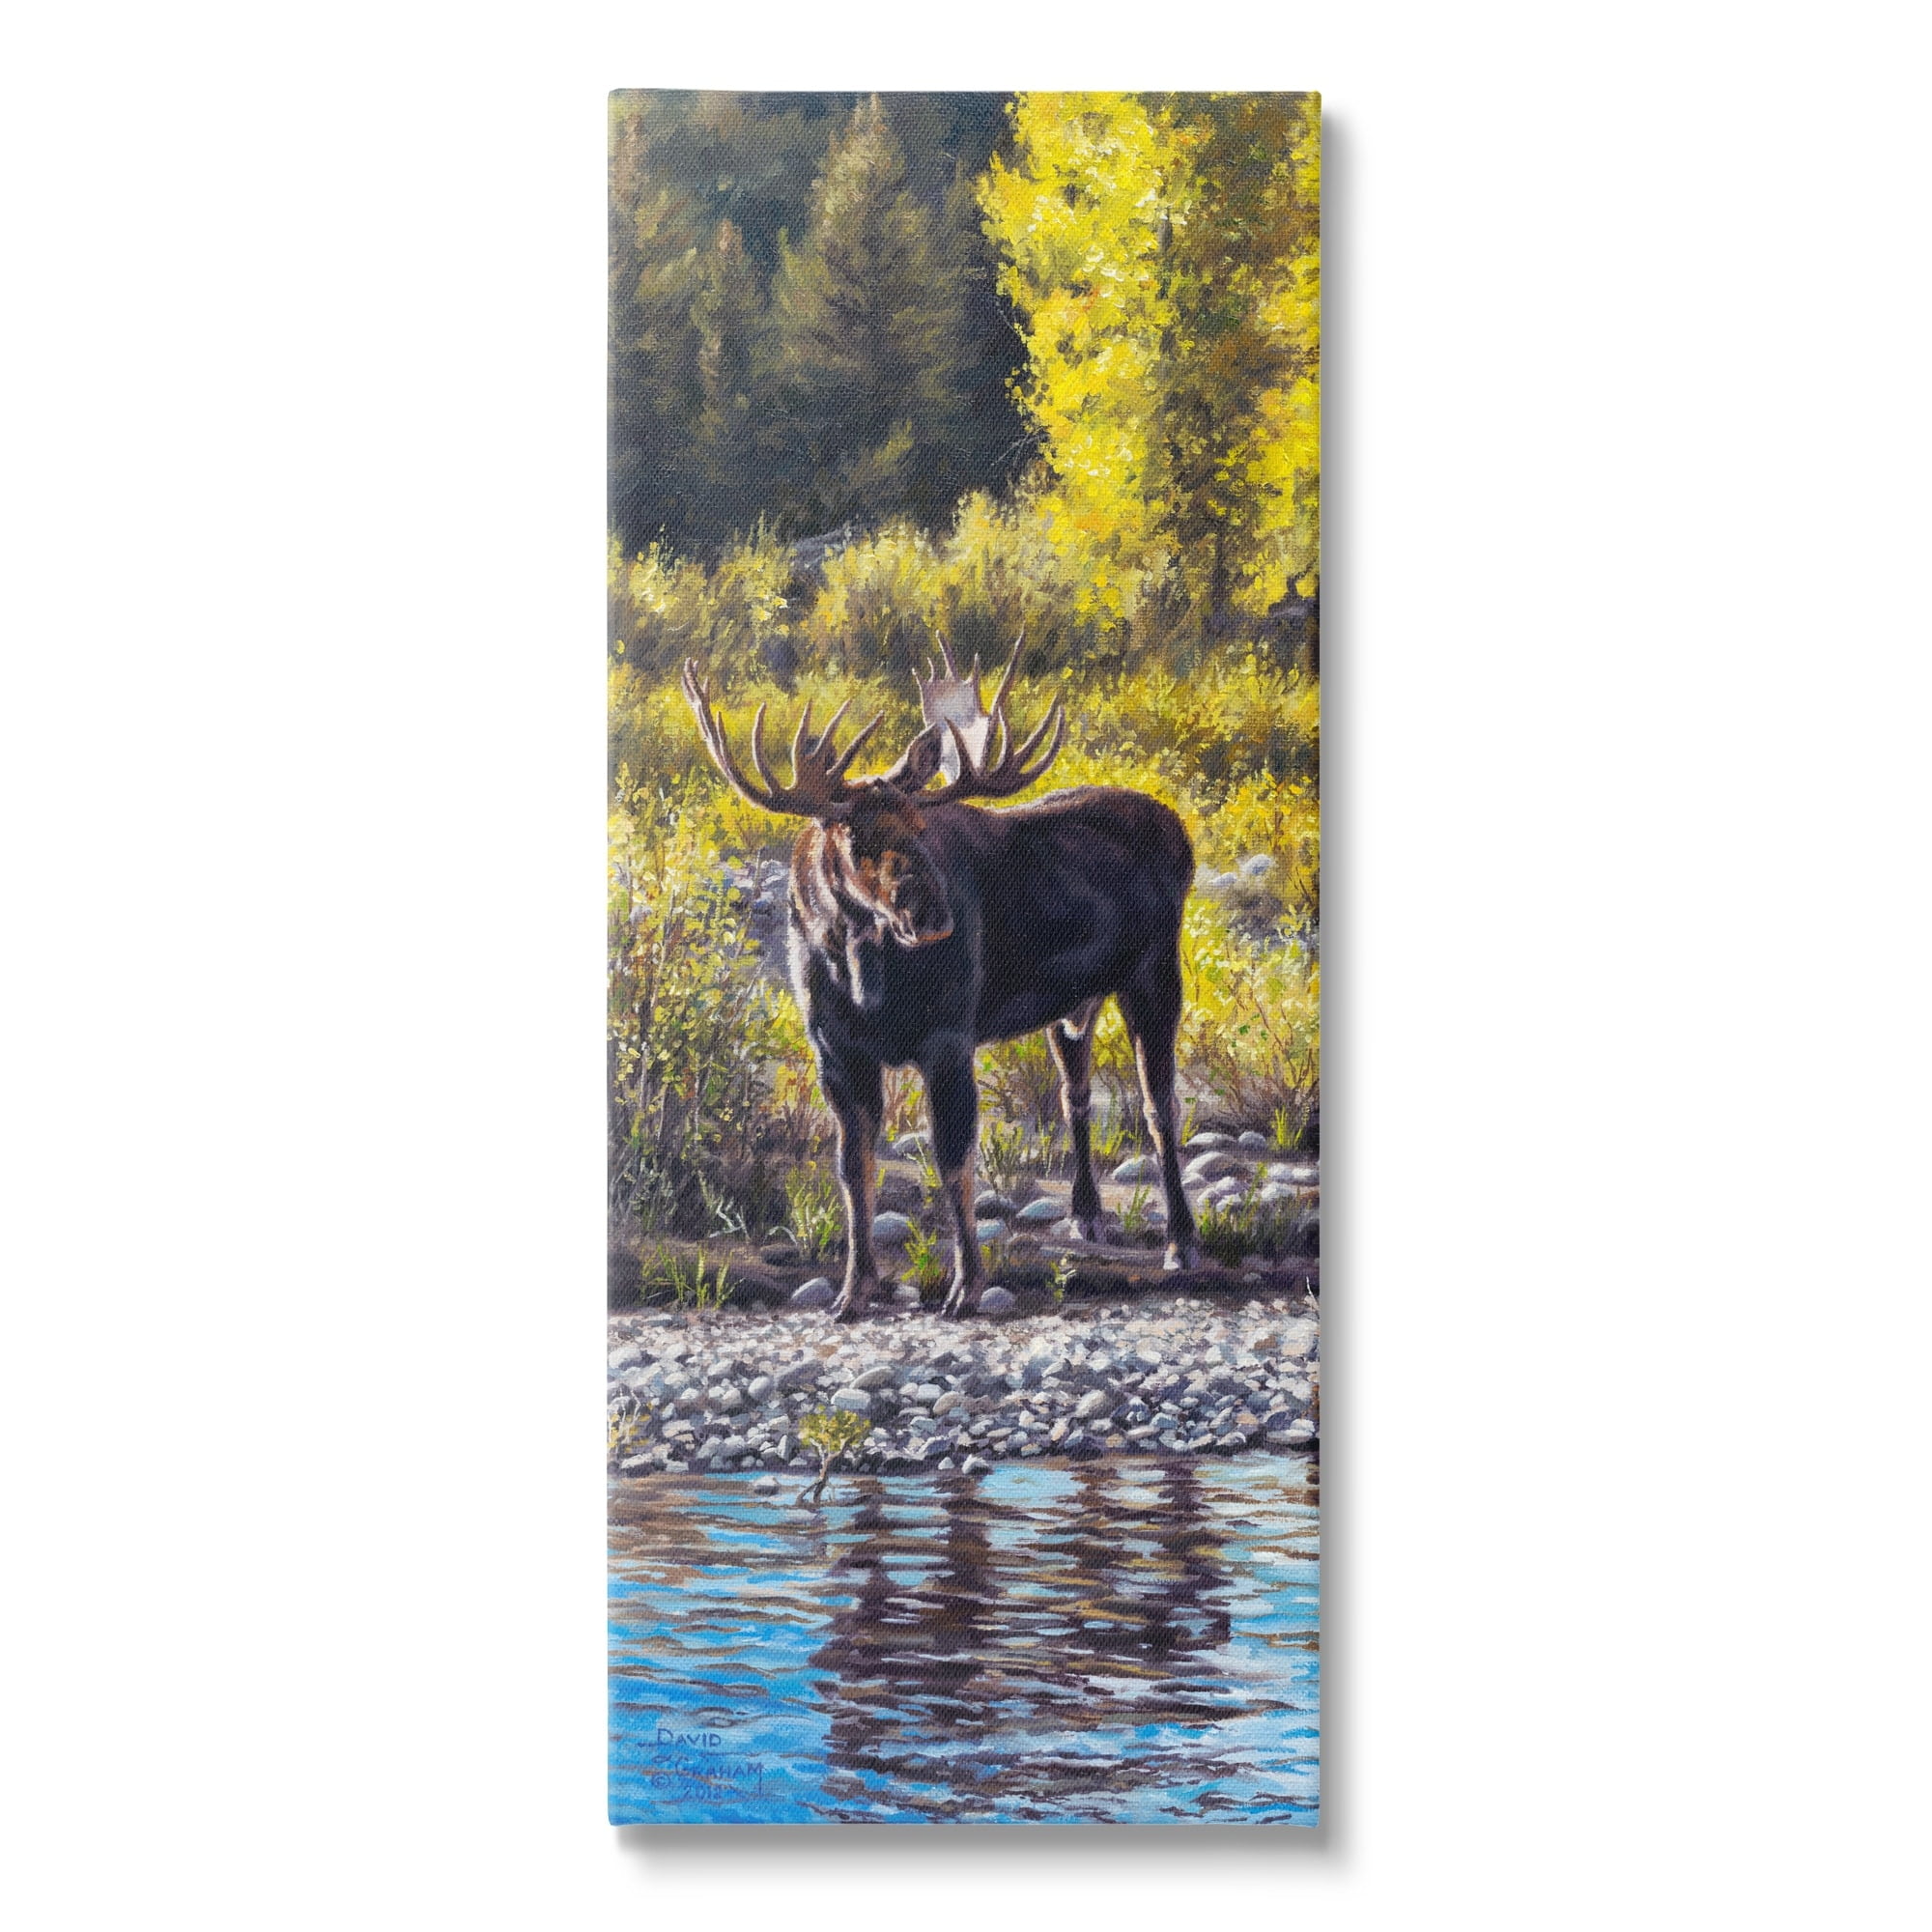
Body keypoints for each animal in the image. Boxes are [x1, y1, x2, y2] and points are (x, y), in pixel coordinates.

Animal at [680, 642, 1200, 1321]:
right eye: (855, 835)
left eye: (921, 825)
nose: (934, 915)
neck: (867, 976)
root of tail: (1181, 832)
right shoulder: (835, 1051)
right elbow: (853, 1169)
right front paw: (853, 1291)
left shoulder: (949, 1039)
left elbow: (954, 1158)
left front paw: (964, 1287)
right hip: (1072, 1006)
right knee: (1076, 1094)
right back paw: (1086, 1217)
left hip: (1155, 976)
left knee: (1161, 1105)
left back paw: (1181, 1246)